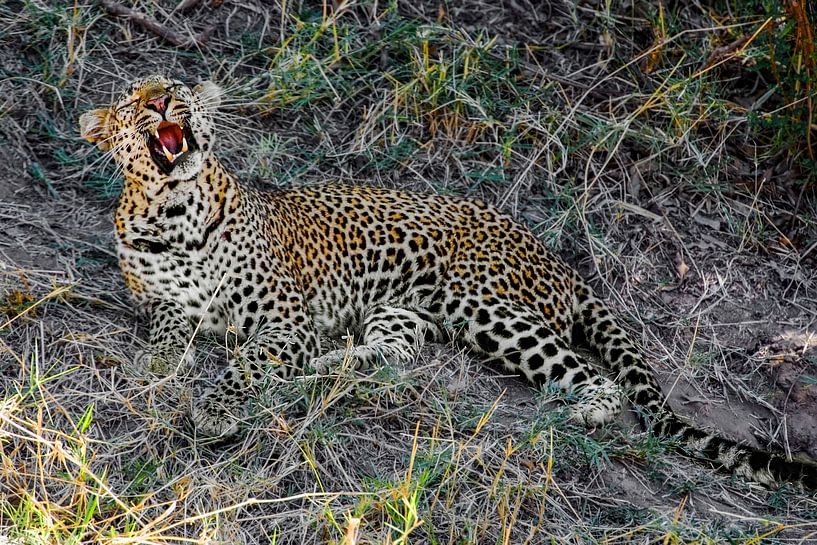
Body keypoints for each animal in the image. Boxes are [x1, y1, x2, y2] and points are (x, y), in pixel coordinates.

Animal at [80, 75, 817, 490]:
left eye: (172, 90)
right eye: (132, 101)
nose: (163, 101)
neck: (174, 211)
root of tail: (560, 263)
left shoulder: (284, 319)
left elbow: (246, 361)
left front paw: (214, 408)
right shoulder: (160, 297)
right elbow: (167, 327)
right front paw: (155, 364)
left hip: (486, 306)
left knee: (591, 374)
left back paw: (583, 410)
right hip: (403, 310)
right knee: (392, 352)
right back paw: (330, 366)